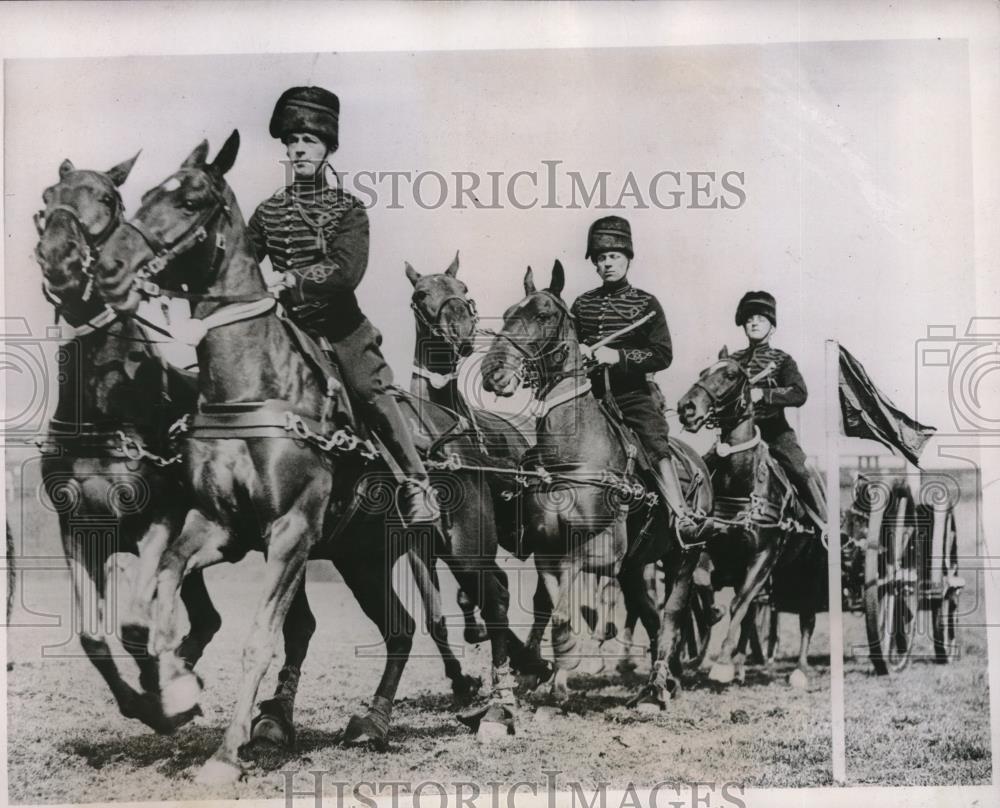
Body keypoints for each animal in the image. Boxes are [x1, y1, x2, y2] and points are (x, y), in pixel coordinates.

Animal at [31, 155, 221, 728]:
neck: (103, 411)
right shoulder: (80, 528)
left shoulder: (158, 520)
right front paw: (144, 701)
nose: (60, 258)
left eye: (109, 199)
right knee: (207, 619)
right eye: (46, 199)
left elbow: (135, 626)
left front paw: (163, 696)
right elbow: (92, 636)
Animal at [94, 134, 532, 784]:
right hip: (364, 556)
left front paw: (228, 752)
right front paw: (175, 689)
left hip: (463, 544)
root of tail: (460, 436)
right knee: (402, 627)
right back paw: (374, 721)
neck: (254, 387)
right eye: (146, 194)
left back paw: (499, 710)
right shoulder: (221, 527)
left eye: (191, 200)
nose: (109, 266)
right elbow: (158, 593)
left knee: (495, 600)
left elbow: (262, 636)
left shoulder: (291, 532)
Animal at [478, 262, 712, 704]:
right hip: (636, 567)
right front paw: (553, 678)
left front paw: (560, 674)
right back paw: (663, 678)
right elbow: (554, 610)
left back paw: (658, 685)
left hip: (683, 557)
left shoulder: (599, 553)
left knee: (671, 615)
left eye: (543, 315)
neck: (574, 453)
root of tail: (699, 463)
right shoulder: (548, 553)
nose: (493, 373)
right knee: (651, 617)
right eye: (507, 313)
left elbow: (567, 608)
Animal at [676, 348, 824, 688]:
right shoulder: (712, 547)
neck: (740, 482)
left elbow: (738, 603)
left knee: (806, 616)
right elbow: (704, 584)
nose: (686, 408)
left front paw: (721, 664)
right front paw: (711, 618)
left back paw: (799, 669)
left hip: (805, 569)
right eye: (703, 371)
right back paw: (741, 665)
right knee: (753, 611)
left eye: (731, 375)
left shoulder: (764, 555)